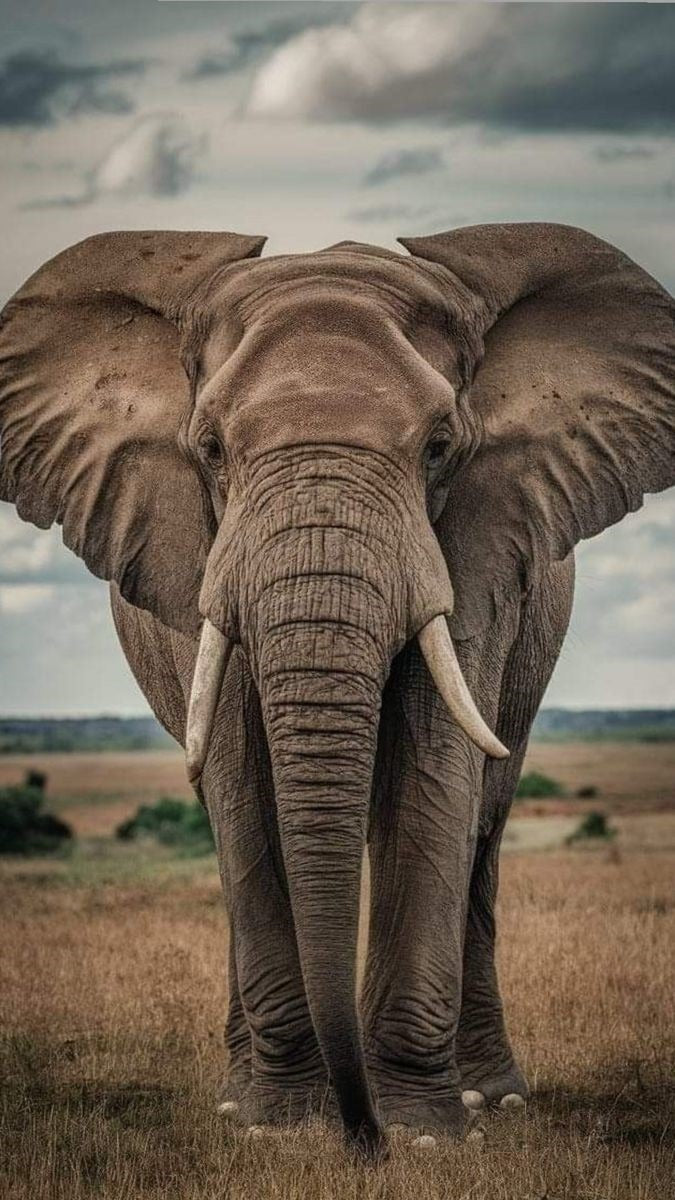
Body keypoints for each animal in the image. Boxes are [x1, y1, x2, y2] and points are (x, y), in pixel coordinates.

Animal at [0, 223, 673, 1158]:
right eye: (210, 450)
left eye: (439, 447)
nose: (364, 1137)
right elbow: (244, 793)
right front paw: (277, 1125)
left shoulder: (477, 550)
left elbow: (434, 778)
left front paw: (424, 1134)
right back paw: (237, 1097)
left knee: (483, 829)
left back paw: (491, 1098)